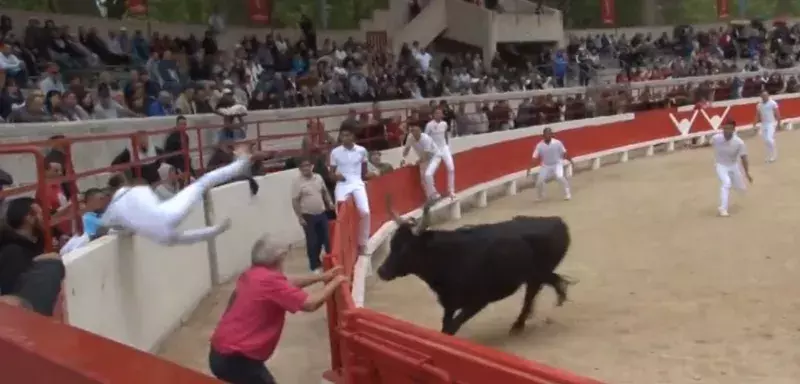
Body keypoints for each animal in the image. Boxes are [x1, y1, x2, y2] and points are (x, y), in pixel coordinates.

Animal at [376, 200, 572, 334]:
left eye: (406, 248)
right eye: (392, 244)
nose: (381, 271)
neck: (447, 257)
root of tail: (558, 221)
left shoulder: (477, 301)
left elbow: (452, 327)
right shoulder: (449, 302)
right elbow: (446, 326)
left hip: (538, 273)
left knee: (533, 293)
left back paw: (518, 324)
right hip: (536, 274)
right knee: (546, 284)